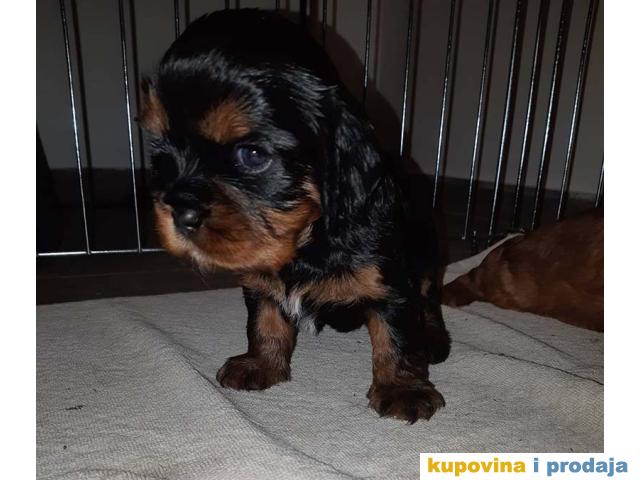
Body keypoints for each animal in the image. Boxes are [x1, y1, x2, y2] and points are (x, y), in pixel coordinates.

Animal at [140, 9, 451, 423]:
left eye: (253, 155)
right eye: (161, 155)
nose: (180, 214)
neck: (307, 240)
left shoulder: (391, 280)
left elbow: (396, 334)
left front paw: (402, 388)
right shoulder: (258, 276)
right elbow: (265, 319)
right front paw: (260, 364)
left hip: (427, 246)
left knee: (429, 297)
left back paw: (434, 338)